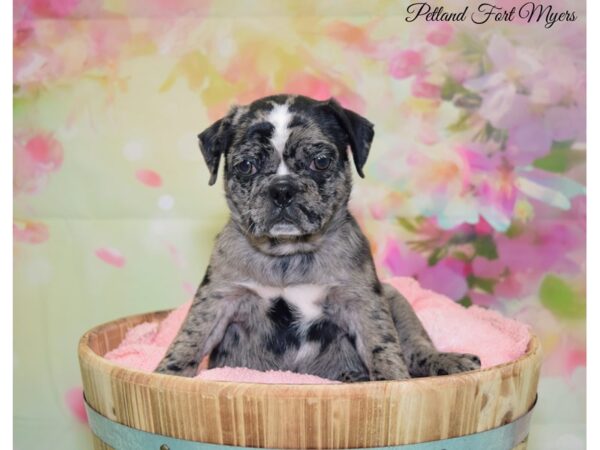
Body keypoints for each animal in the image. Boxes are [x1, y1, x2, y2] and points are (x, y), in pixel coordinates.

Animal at [156, 94, 482, 380]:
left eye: (321, 161)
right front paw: (167, 376)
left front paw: (392, 381)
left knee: (415, 347)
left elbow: (383, 345)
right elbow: (188, 339)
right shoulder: (217, 298)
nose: (282, 189)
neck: (288, 254)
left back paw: (445, 361)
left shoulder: (362, 301)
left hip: (397, 299)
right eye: (246, 166)